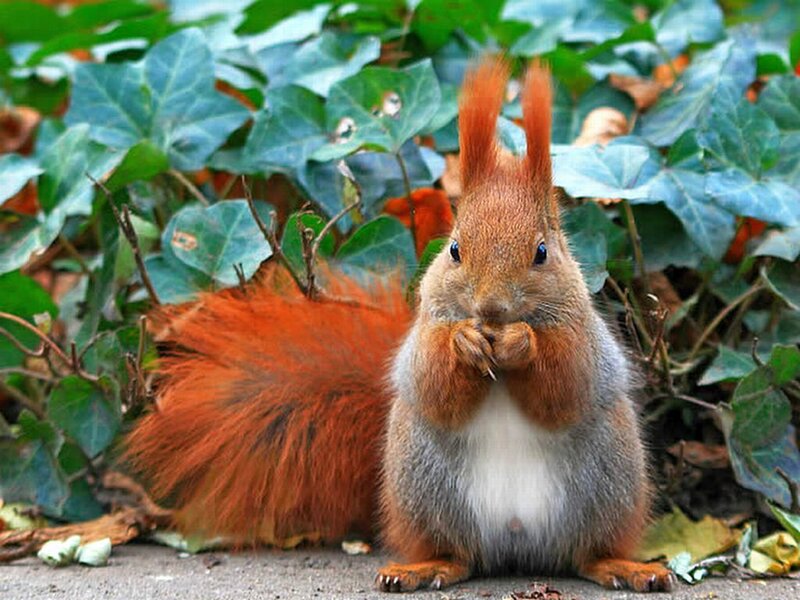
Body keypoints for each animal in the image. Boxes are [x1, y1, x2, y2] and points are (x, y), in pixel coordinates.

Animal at [125, 58, 674, 593]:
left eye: (542, 252)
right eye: (454, 249)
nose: (491, 309)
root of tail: (518, 548)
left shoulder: (587, 344)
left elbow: (566, 387)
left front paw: (522, 343)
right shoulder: (421, 341)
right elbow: (433, 383)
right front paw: (463, 342)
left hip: (607, 485)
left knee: (587, 552)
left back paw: (624, 568)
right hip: (424, 488)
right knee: (458, 553)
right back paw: (424, 568)